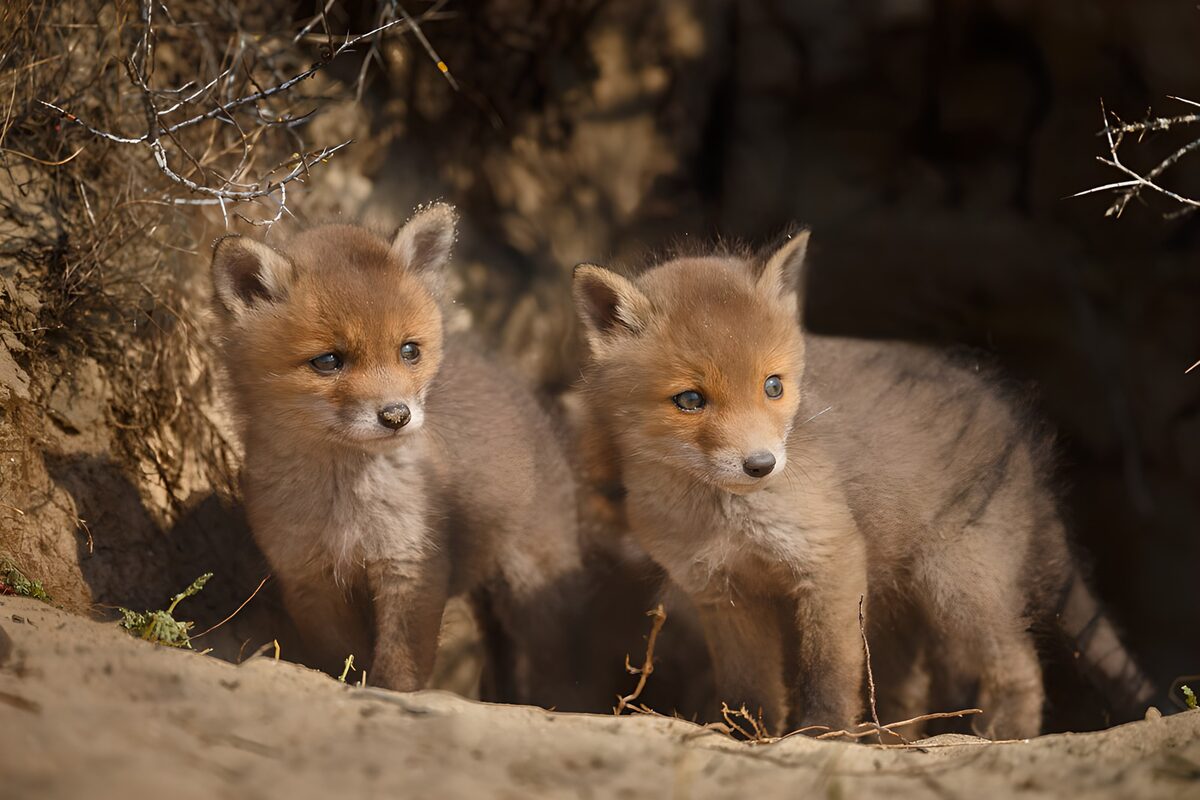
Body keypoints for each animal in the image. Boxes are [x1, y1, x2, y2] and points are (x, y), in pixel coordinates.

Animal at [209, 205, 589, 707]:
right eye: (328, 361)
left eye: (409, 351)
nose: (395, 415)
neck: (345, 507)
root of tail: (514, 383)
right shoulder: (309, 579)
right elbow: (342, 660)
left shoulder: (411, 565)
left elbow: (400, 667)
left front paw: (392, 699)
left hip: (534, 580)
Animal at [571, 230, 1156, 739]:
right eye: (690, 400)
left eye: (773, 386)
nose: (761, 465)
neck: (728, 520)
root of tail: (1019, 432)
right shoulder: (722, 591)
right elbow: (750, 688)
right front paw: (747, 738)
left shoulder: (831, 560)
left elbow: (828, 672)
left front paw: (822, 737)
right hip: (898, 603)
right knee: (912, 691)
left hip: (958, 586)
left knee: (1022, 667)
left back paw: (1001, 737)